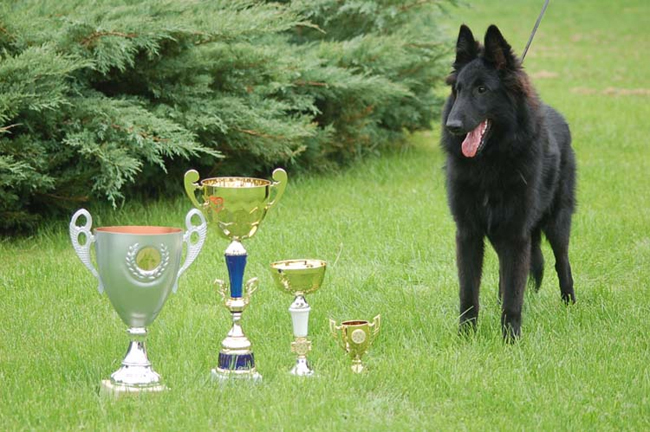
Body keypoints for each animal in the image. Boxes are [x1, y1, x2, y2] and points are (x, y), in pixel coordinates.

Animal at [440, 24, 576, 340]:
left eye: (482, 89)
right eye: (458, 89)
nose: (452, 126)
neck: (491, 161)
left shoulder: (516, 232)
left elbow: (515, 289)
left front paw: (510, 339)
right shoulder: (469, 233)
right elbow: (469, 291)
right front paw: (466, 336)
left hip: (556, 222)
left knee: (561, 260)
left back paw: (570, 303)